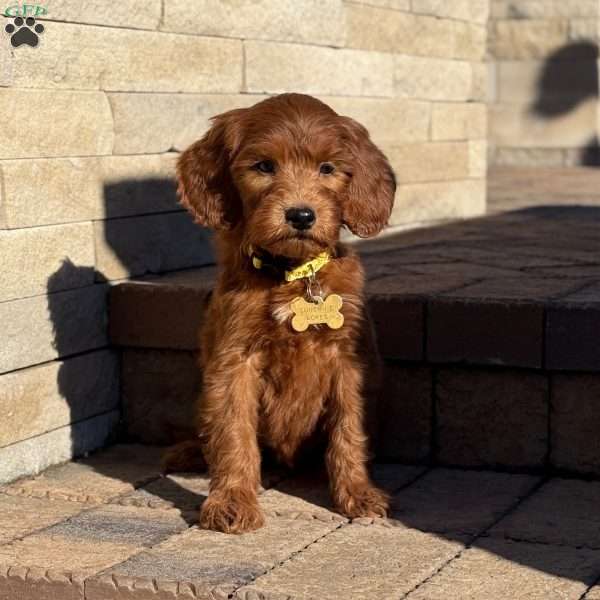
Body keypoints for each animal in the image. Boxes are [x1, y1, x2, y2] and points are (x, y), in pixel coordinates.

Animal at [166, 94, 396, 536]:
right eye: (263, 166)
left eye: (327, 168)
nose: (301, 215)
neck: (292, 274)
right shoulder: (235, 359)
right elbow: (233, 433)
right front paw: (232, 501)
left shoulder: (349, 361)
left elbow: (348, 430)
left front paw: (358, 494)